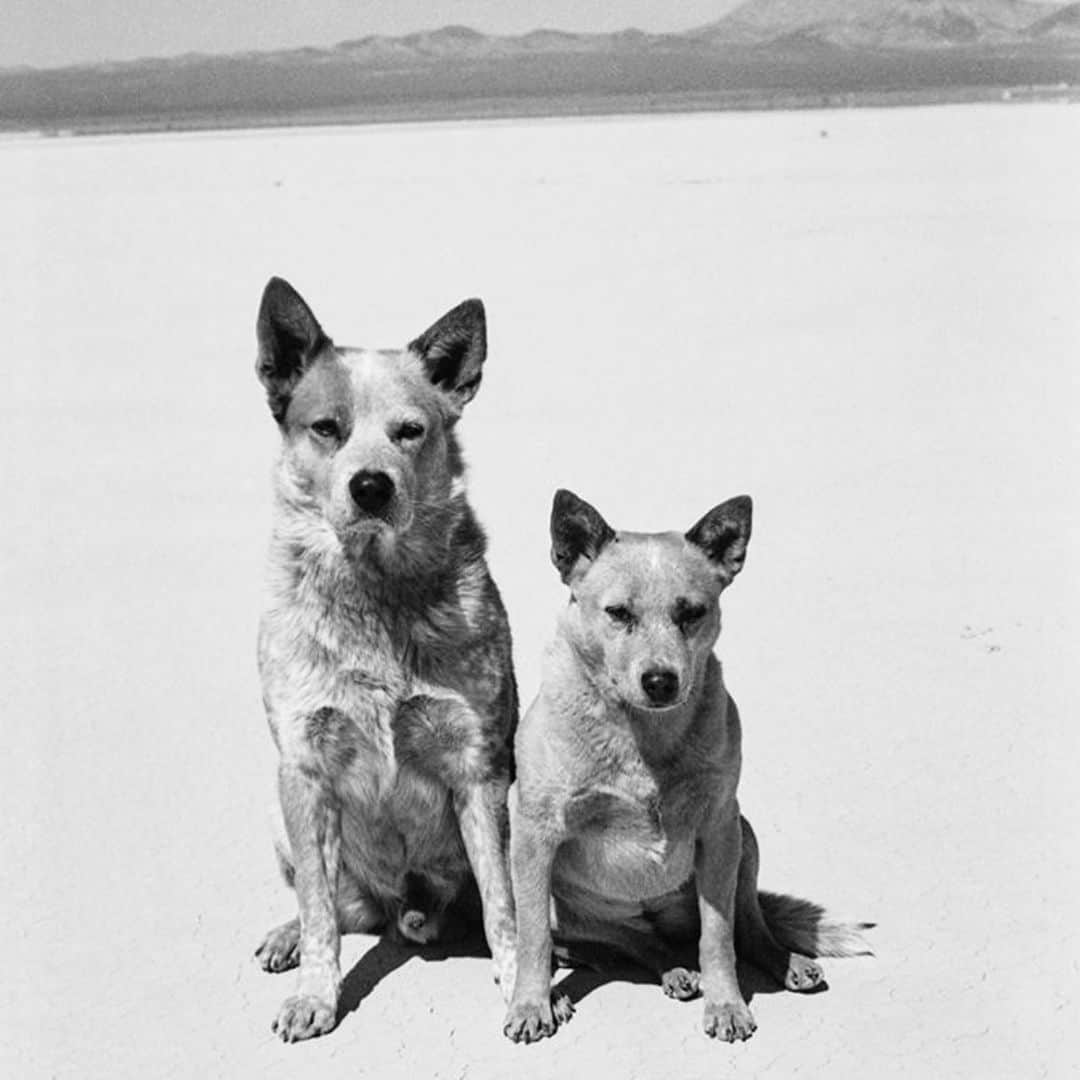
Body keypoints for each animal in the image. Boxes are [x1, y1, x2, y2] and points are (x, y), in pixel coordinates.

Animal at [254, 280, 520, 1045]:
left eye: (410, 431)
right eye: (326, 428)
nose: (371, 486)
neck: (374, 594)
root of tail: (408, 907)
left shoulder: (479, 766)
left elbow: (504, 902)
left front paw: (523, 986)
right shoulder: (303, 768)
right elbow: (319, 914)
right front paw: (315, 995)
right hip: (280, 814)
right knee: (333, 906)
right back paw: (285, 938)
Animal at [503, 494, 868, 1041]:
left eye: (691, 612)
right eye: (618, 613)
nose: (660, 681)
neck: (642, 736)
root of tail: (655, 914)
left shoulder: (717, 828)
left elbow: (718, 938)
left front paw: (727, 1004)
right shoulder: (533, 834)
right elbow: (531, 941)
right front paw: (530, 1004)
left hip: (744, 835)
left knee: (748, 925)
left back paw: (784, 962)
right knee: (635, 943)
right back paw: (671, 968)